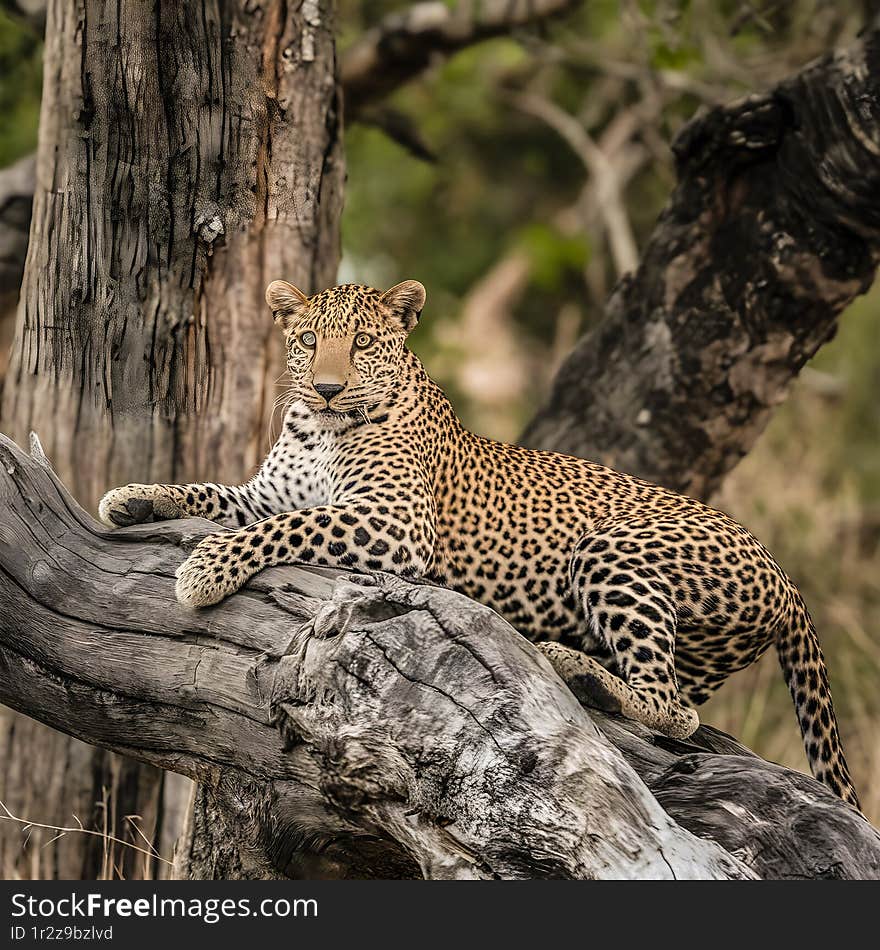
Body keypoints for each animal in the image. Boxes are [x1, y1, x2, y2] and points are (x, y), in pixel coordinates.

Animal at [101, 278, 860, 812]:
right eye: (310, 340)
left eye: (364, 344)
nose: (328, 387)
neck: (317, 429)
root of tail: (787, 578)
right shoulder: (273, 494)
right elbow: (214, 494)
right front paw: (132, 496)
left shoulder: (392, 523)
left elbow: (275, 530)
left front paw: (202, 570)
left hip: (614, 548)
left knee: (674, 708)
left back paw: (577, 668)